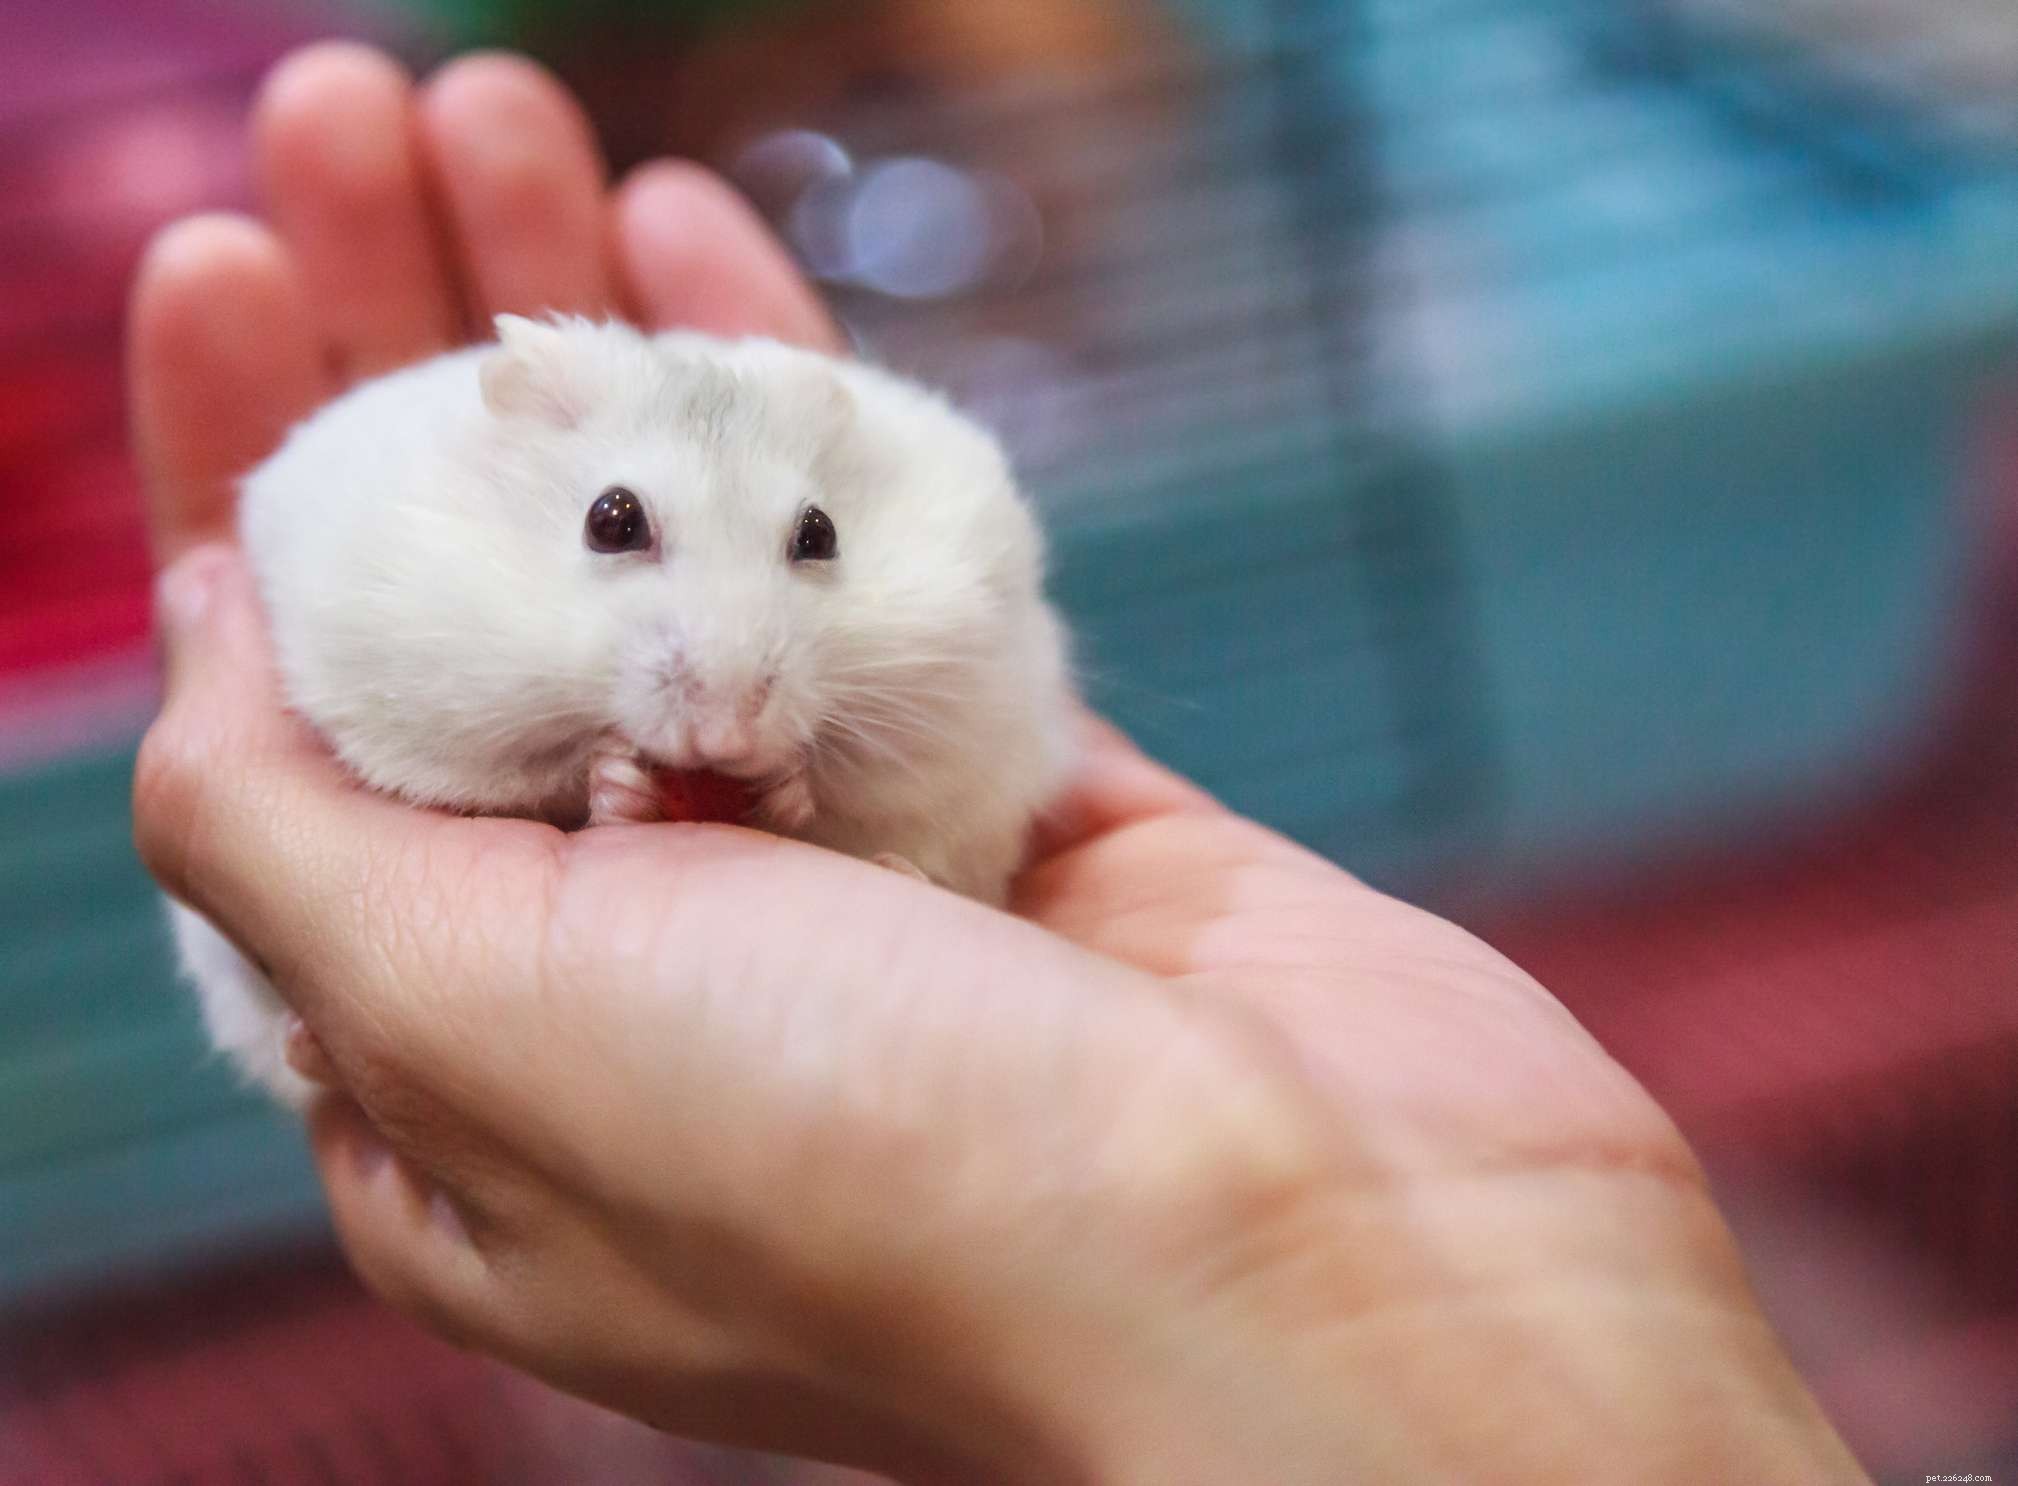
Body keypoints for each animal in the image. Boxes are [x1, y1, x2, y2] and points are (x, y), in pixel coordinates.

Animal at [170, 314, 1078, 1105]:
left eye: (819, 533)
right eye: (612, 520)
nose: (726, 734)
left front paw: (785, 785)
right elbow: (544, 780)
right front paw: (617, 782)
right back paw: (302, 1038)